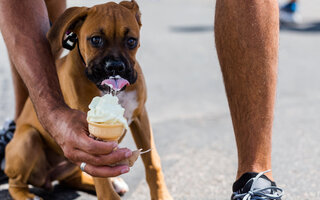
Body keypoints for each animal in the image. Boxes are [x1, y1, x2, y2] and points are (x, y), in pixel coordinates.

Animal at [3, 0, 172, 199]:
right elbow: (102, 181)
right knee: (15, 182)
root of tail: (48, 178)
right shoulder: (89, 140)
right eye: (95, 40)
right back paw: (27, 195)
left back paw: (112, 182)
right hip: (28, 139)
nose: (115, 67)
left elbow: (152, 162)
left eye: (131, 41)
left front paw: (161, 195)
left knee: (72, 178)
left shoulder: (140, 117)